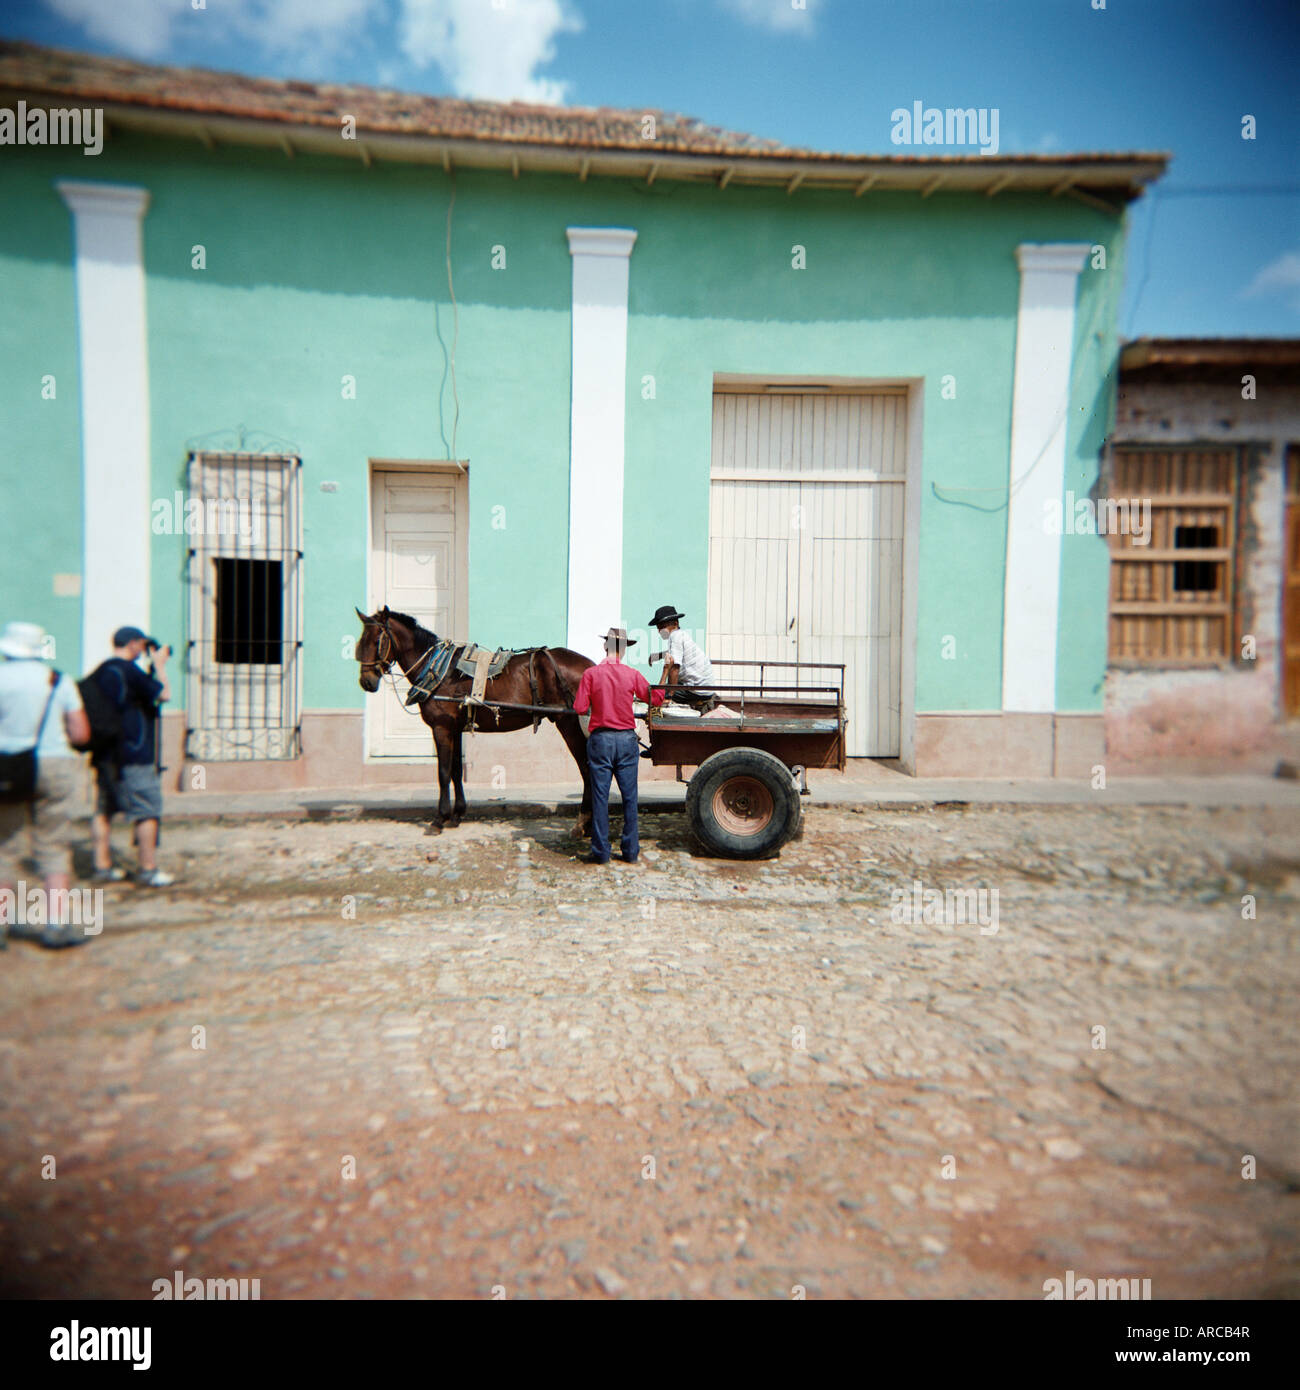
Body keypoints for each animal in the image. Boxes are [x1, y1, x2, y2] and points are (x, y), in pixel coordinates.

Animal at [350, 606, 595, 834]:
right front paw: (457, 815)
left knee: (586, 768)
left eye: (376, 641)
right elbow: (456, 771)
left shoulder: (441, 727)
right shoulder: (455, 728)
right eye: (362, 640)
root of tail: (590, 666)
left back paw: (583, 823)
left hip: (569, 723)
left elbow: (443, 772)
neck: (439, 670)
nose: (366, 681)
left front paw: (440, 818)